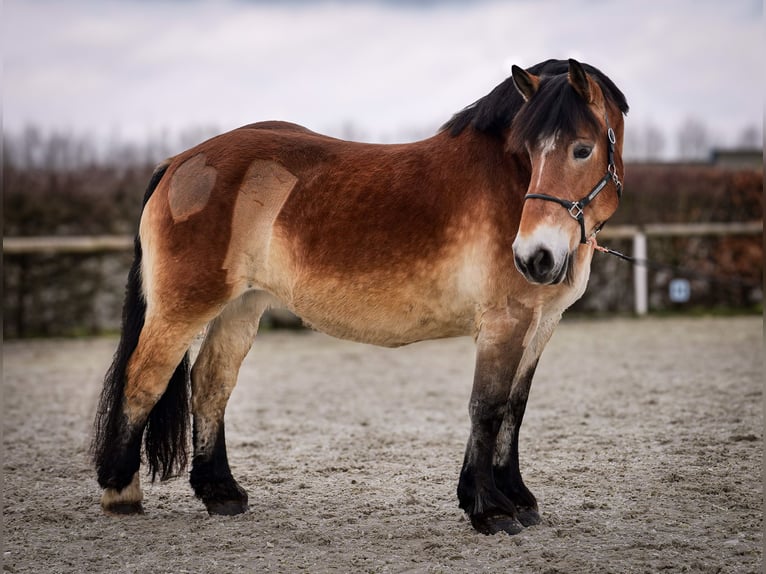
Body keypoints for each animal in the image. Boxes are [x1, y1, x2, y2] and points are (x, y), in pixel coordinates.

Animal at [91, 57, 632, 536]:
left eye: (581, 150)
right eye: (531, 151)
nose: (535, 256)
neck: (505, 183)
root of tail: (178, 163)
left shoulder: (540, 324)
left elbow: (515, 410)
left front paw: (517, 499)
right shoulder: (505, 322)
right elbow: (488, 407)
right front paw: (491, 511)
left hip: (241, 306)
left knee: (210, 385)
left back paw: (222, 494)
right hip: (183, 308)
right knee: (144, 380)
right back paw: (121, 492)